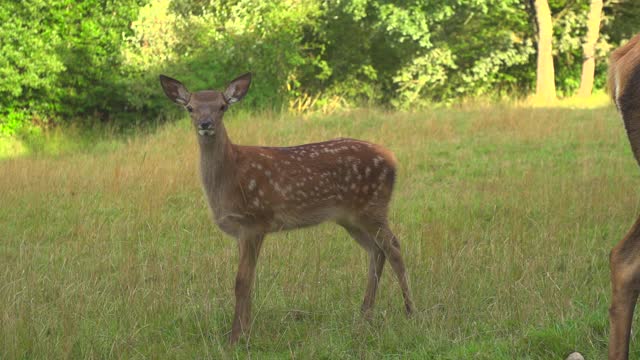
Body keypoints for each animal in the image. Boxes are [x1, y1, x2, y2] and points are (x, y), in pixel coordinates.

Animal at [160, 72, 416, 344]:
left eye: (222, 106)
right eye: (190, 108)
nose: (206, 123)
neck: (230, 177)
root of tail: (393, 158)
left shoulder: (255, 221)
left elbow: (242, 281)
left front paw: (236, 337)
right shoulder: (242, 230)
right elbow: (250, 279)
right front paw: (246, 331)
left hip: (373, 206)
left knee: (394, 247)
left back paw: (410, 311)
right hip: (350, 217)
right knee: (377, 250)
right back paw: (365, 314)